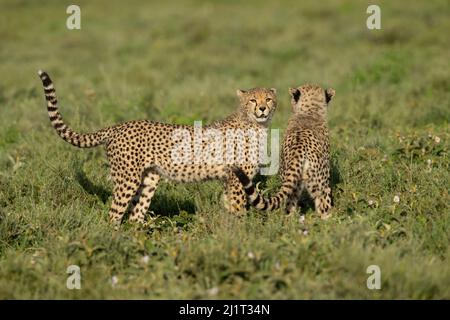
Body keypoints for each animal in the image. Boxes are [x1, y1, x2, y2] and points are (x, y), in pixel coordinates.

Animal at [37, 70, 278, 225]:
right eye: (252, 101)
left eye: (268, 99)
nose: (263, 109)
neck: (254, 125)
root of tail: (119, 126)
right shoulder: (237, 179)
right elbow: (239, 209)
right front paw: (242, 233)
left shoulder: (230, 180)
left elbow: (229, 206)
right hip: (127, 179)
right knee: (114, 214)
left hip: (149, 179)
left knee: (134, 216)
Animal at [232, 83, 334, 218]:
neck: (309, 112)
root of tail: (299, 152)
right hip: (320, 185)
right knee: (324, 205)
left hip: (291, 184)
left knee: (289, 208)